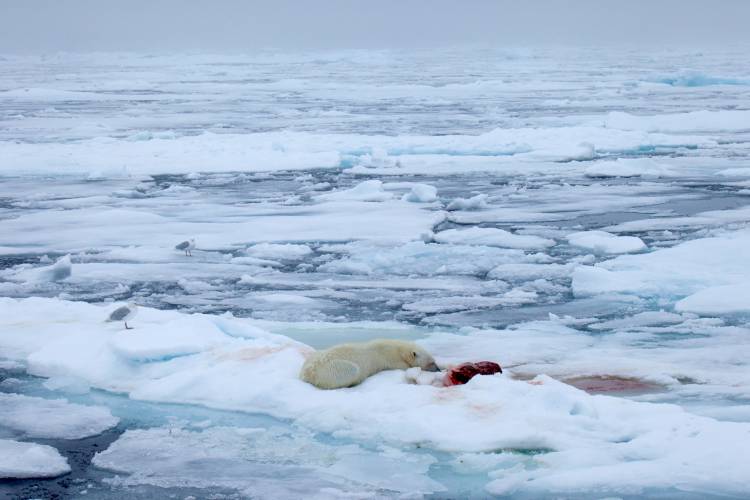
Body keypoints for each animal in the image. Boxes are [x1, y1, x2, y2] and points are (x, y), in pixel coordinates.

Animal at [300, 340, 440, 390]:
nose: (438, 369)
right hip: (332, 369)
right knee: (353, 370)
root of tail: (306, 373)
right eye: (431, 362)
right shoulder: (391, 360)